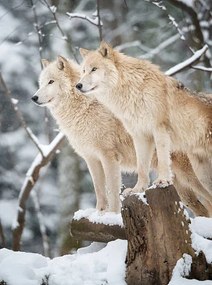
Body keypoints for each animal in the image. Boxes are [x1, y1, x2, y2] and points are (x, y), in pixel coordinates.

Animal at [76, 41, 212, 193]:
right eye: (83, 71)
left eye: (94, 69)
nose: (78, 85)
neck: (132, 89)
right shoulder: (140, 135)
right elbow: (141, 167)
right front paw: (138, 189)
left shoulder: (159, 129)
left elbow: (163, 159)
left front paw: (163, 181)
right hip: (203, 176)